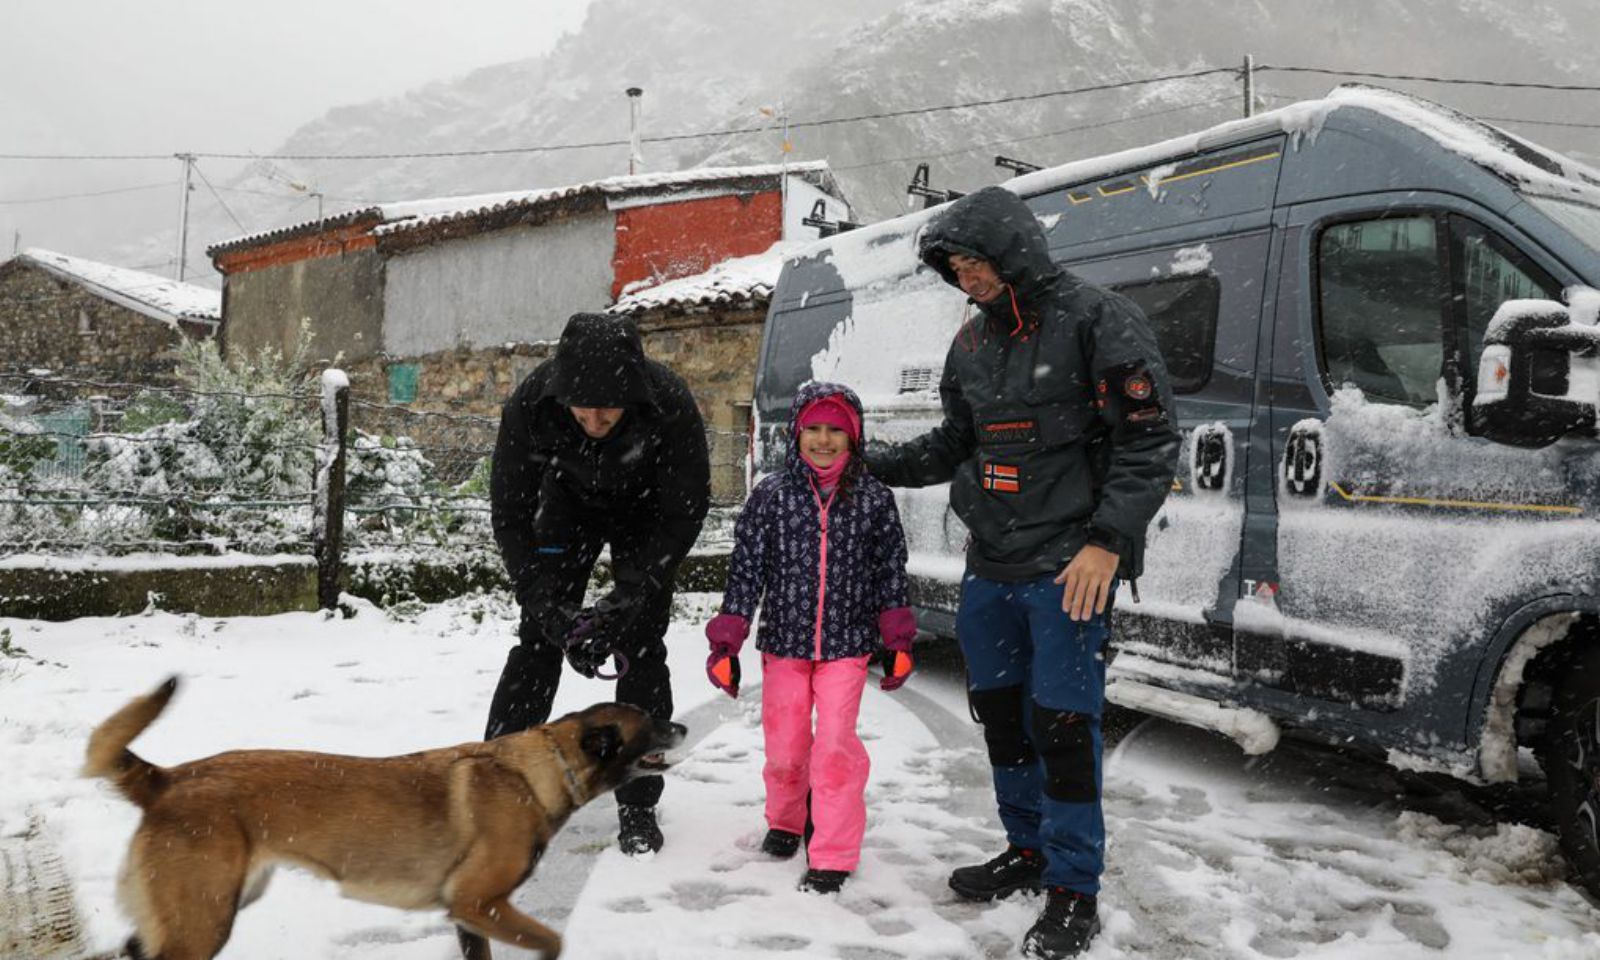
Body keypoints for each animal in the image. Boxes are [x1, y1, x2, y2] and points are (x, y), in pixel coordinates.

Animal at [82, 675, 681, 960]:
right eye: (650, 719)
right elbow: (552, 942)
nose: (681, 727)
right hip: (202, 922)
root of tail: (167, 778)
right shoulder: (479, 903)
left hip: (212, 906)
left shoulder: (469, 917)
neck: (538, 773)